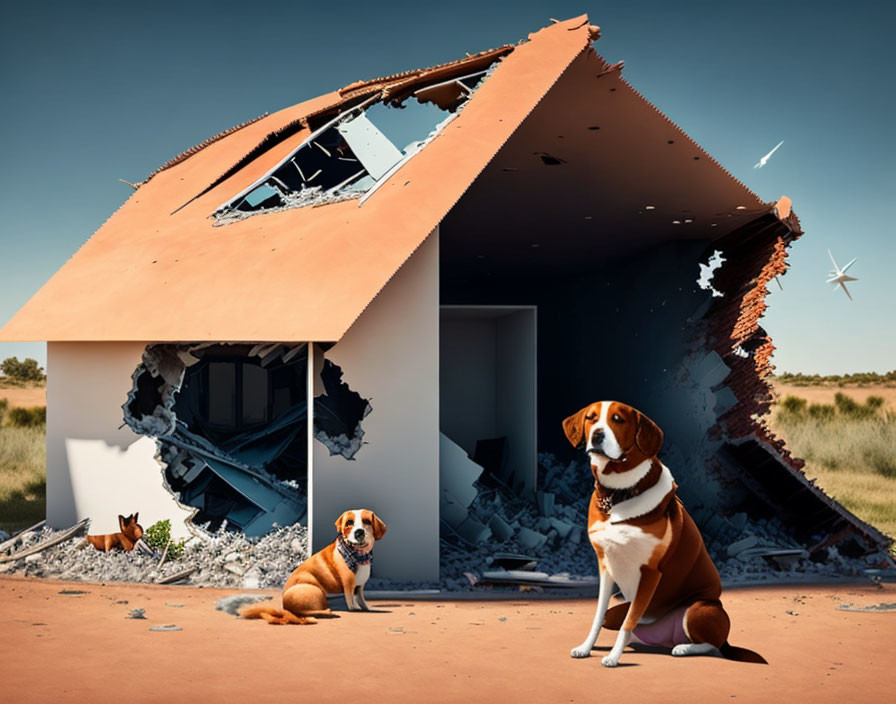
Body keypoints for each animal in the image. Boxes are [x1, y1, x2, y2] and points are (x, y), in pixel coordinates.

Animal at [242, 508, 384, 624]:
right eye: (349, 523)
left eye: (367, 521)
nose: (359, 532)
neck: (359, 555)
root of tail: (285, 607)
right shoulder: (349, 584)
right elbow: (351, 600)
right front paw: (354, 609)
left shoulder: (360, 586)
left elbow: (361, 599)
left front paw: (366, 608)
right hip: (316, 590)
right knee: (304, 612)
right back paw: (328, 612)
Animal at [560, 402, 764, 664]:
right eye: (591, 418)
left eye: (618, 419)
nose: (597, 435)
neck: (619, 494)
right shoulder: (606, 566)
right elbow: (599, 616)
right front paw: (586, 648)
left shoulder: (650, 573)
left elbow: (628, 622)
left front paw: (613, 658)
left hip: (699, 608)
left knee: (713, 646)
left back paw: (683, 649)